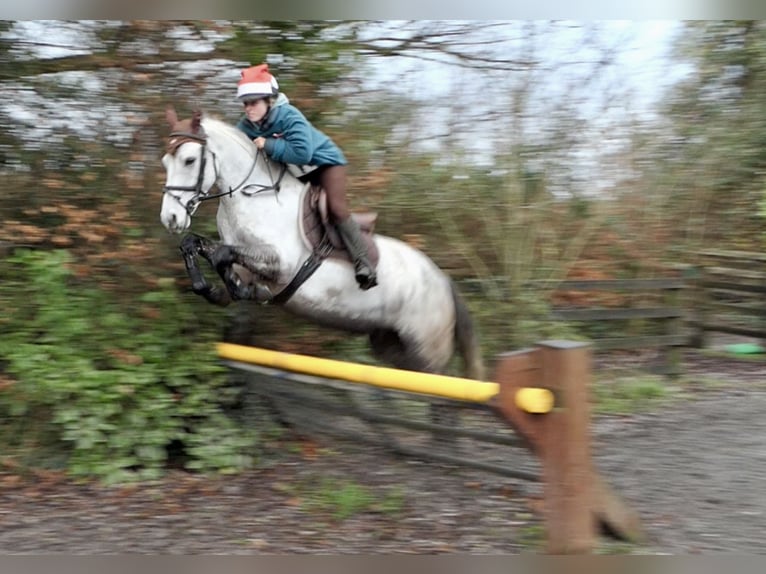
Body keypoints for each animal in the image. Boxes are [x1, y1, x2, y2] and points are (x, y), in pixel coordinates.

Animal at [159, 108, 485, 381]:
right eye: (166, 161)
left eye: (189, 160)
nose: (170, 218)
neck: (252, 197)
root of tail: (443, 281)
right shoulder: (243, 262)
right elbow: (197, 246)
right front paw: (213, 289)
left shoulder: (281, 265)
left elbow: (222, 254)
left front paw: (247, 291)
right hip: (393, 347)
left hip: (428, 353)